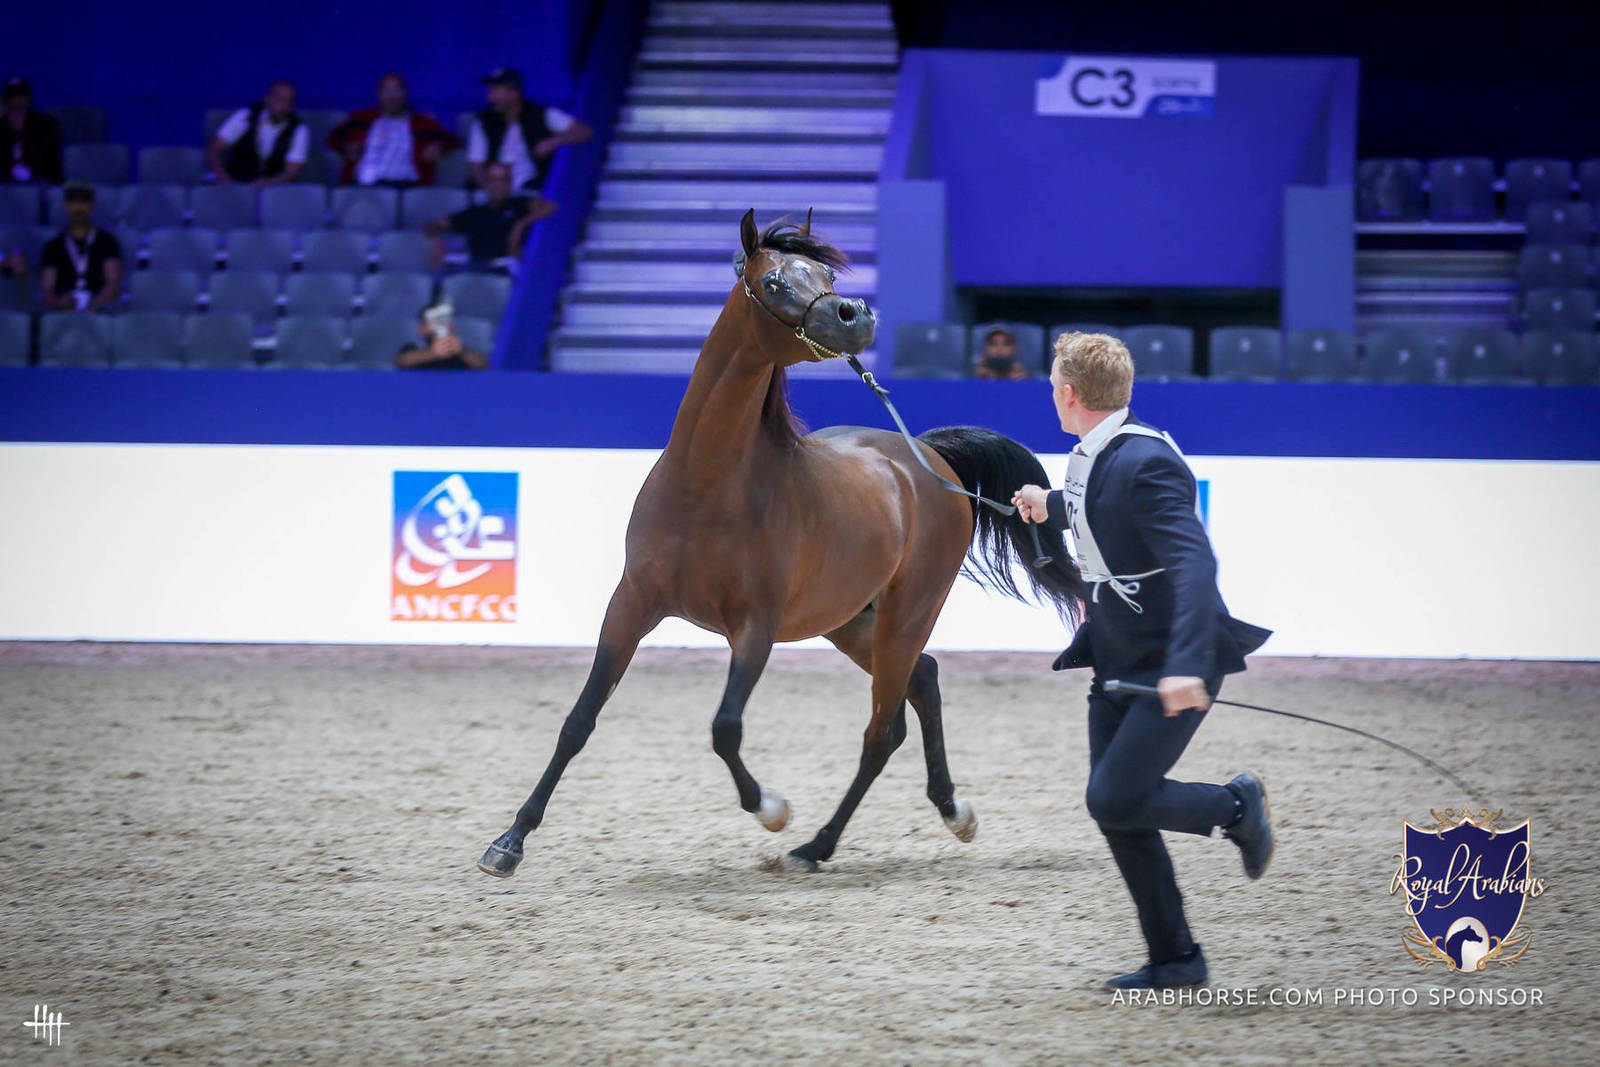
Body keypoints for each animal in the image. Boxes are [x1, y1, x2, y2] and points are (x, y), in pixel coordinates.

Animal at [478, 209, 1084, 876]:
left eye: (827, 275)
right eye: (772, 281)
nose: (855, 314)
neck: (707, 486)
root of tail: (928, 457)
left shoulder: (756, 626)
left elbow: (725, 728)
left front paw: (772, 808)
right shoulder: (630, 606)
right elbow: (579, 720)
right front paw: (508, 842)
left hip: (907, 612)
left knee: (883, 728)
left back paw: (814, 845)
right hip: (848, 620)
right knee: (920, 682)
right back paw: (949, 811)